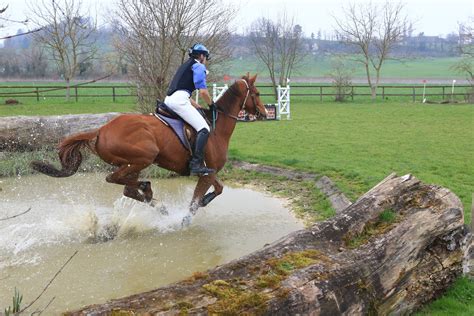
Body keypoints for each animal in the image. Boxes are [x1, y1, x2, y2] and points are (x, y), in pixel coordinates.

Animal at [30, 73, 266, 214]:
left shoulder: (209, 172)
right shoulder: (206, 173)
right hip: (143, 157)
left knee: (126, 187)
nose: (264, 113)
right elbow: (194, 203)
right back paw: (147, 189)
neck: (217, 128)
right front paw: (185, 219)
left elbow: (219, 189)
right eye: (256, 93)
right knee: (114, 179)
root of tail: (102, 129)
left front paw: (204, 201)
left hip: (131, 163)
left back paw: (153, 199)